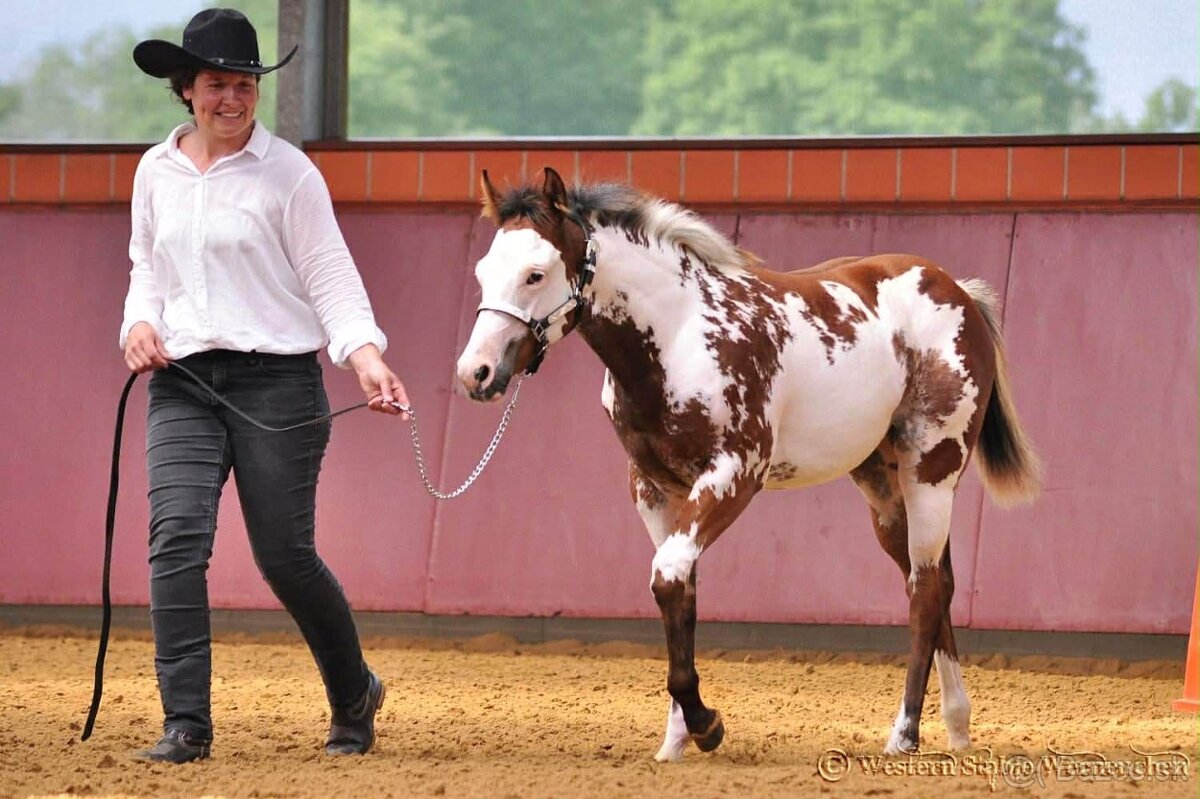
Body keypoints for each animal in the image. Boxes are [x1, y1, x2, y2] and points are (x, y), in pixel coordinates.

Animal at [455, 166, 1041, 760]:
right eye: (483, 272)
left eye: (536, 274)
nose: (475, 373)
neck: (679, 336)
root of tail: (956, 289)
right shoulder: (654, 489)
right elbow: (679, 592)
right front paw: (674, 744)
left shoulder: (734, 476)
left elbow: (668, 576)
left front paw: (706, 725)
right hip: (883, 489)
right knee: (936, 581)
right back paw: (958, 727)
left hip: (932, 472)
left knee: (925, 593)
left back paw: (903, 735)